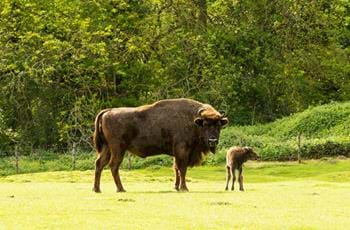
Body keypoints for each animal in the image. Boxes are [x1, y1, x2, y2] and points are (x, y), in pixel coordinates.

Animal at [93, 97, 228, 192]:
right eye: (205, 124)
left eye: (218, 125)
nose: (212, 141)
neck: (193, 120)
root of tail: (109, 111)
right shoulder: (182, 150)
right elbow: (182, 168)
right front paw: (184, 188)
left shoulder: (176, 153)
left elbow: (176, 168)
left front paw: (176, 187)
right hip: (118, 148)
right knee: (113, 165)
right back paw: (121, 189)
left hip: (107, 148)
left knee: (99, 164)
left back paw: (97, 189)